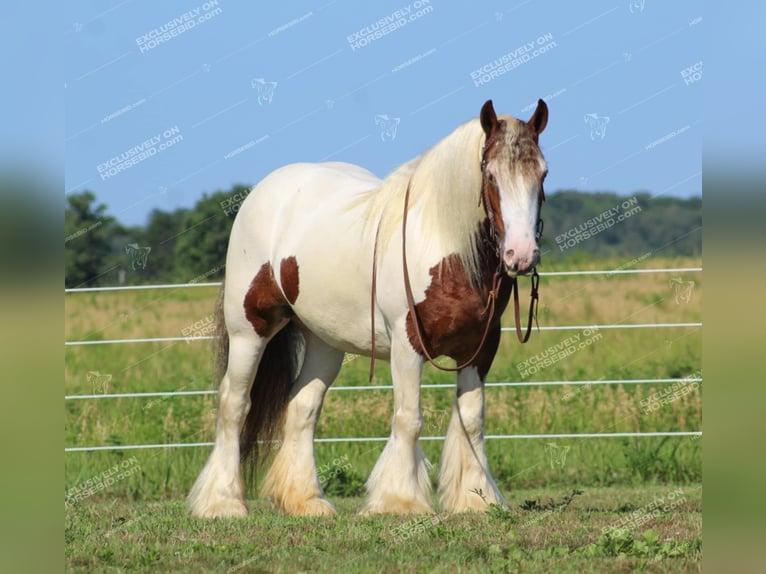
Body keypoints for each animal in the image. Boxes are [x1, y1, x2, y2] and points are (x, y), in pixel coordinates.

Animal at [192, 100, 552, 520]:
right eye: (491, 175)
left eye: (542, 173)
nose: (521, 255)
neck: (444, 245)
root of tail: (262, 191)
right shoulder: (408, 346)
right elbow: (409, 419)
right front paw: (400, 501)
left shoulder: (481, 348)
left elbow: (472, 419)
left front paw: (474, 498)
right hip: (249, 330)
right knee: (234, 404)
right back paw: (223, 502)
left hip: (325, 342)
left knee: (302, 408)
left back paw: (305, 500)